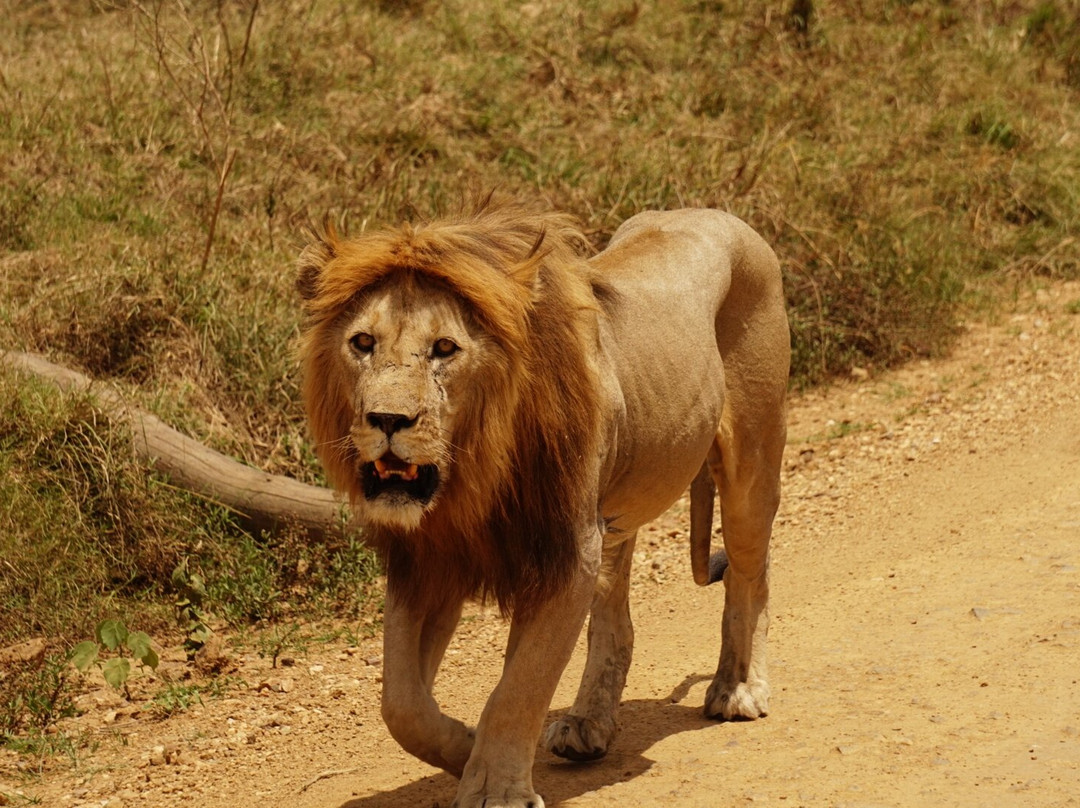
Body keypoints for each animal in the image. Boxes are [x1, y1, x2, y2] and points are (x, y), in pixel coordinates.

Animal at [295, 200, 786, 808]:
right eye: (363, 343)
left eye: (445, 348)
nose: (388, 419)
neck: (471, 477)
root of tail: (716, 212)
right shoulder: (430, 558)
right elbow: (400, 702)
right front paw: (464, 748)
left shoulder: (567, 551)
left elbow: (520, 685)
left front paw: (494, 787)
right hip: (617, 507)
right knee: (616, 622)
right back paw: (587, 725)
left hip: (751, 462)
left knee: (749, 575)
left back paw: (738, 688)